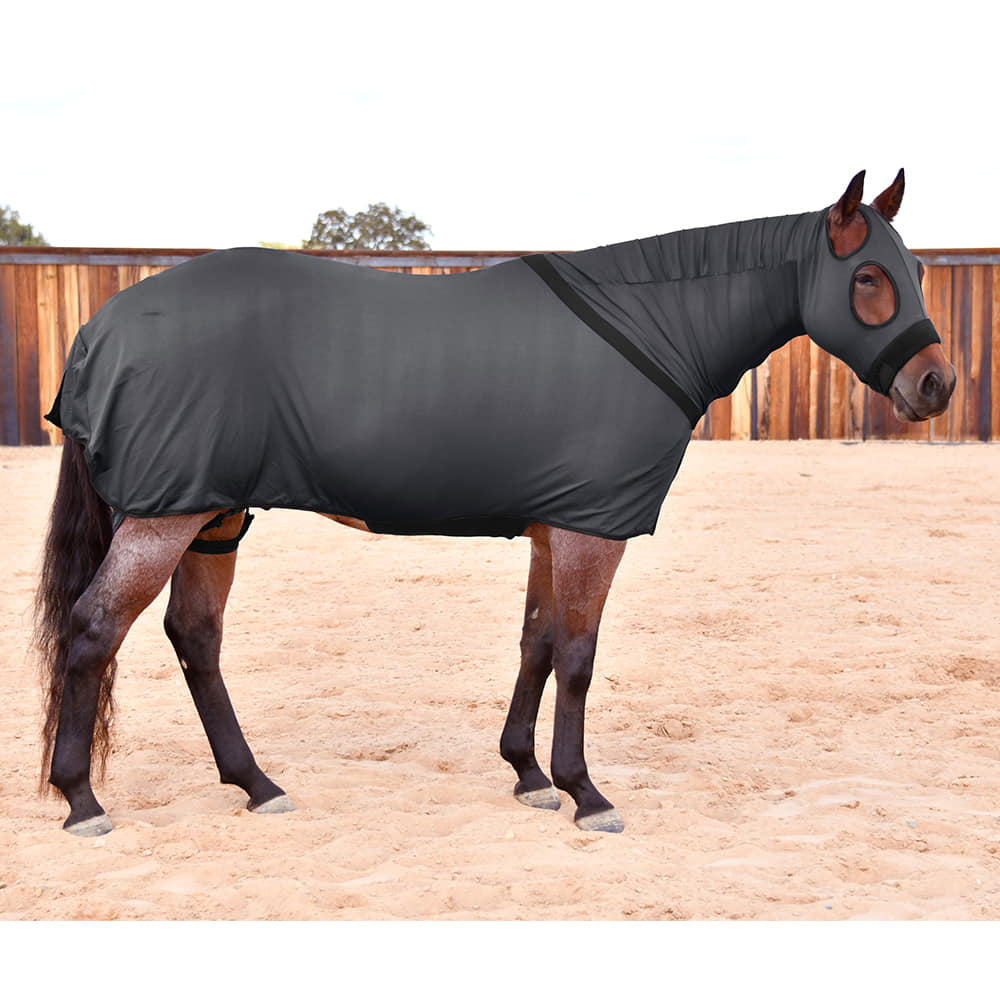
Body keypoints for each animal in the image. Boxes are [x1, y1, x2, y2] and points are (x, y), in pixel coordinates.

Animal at [35, 169, 955, 837]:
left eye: (914, 271)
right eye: (867, 276)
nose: (936, 386)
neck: (651, 323)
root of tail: (101, 328)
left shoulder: (555, 528)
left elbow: (537, 644)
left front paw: (529, 775)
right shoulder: (592, 531)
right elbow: (578, 657)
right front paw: (587, 794)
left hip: (215, 517)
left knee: (195, 638)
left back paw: (257, 784)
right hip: (168, 516)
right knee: (95, 630)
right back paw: (82, 801)